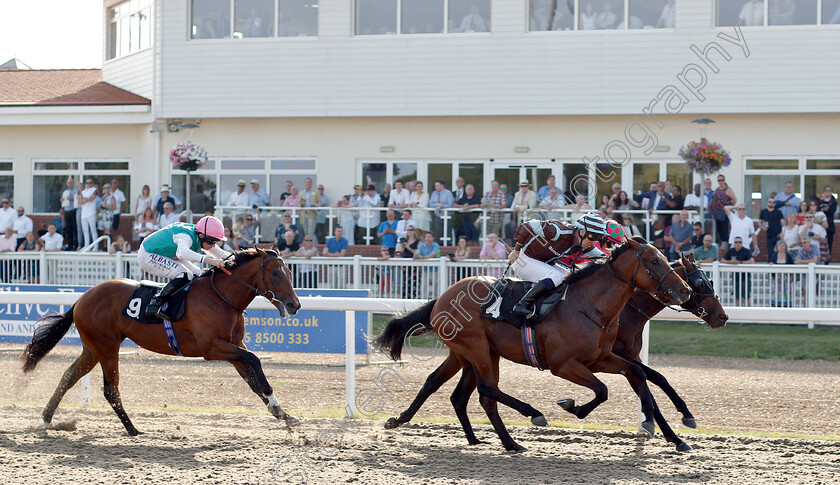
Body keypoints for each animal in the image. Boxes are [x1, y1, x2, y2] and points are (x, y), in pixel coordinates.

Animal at [18, 246, 302, 434]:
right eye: (275, 274)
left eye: (289, 272)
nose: (295, 305)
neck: (221, 297)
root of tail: (82, 298)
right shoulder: (213, 348)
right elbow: (255, 361)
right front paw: (277, 407)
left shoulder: (234, 347)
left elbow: (253, 378)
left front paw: (282, 413)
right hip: (107, 348)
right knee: (111, 389)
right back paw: (133, 429)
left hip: (93, 348)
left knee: (69, 375)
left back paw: (47, 418)